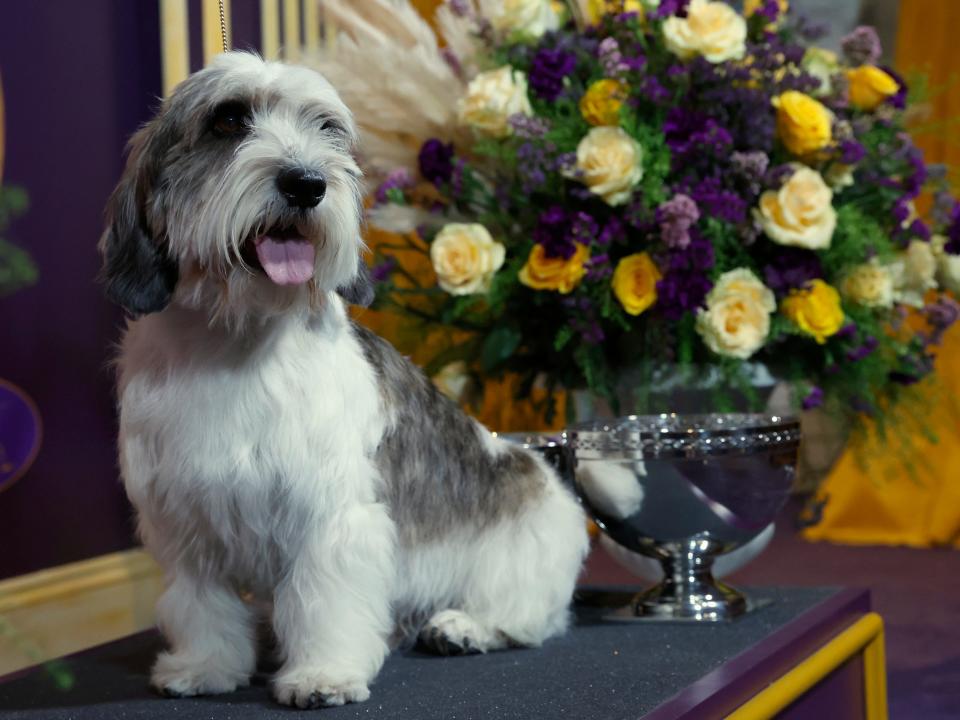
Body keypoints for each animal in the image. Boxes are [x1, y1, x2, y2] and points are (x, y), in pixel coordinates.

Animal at [101, 52, 588, 708]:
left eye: (327, 128)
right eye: (228, 120)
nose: (307, 183)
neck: (239, 342)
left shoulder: (331, 517)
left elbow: (325, 600)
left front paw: (322, 675)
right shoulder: (186, 520)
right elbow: (202, 607)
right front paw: (205, 668)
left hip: (522, 557)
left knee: (530, 618)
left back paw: (463, 626)